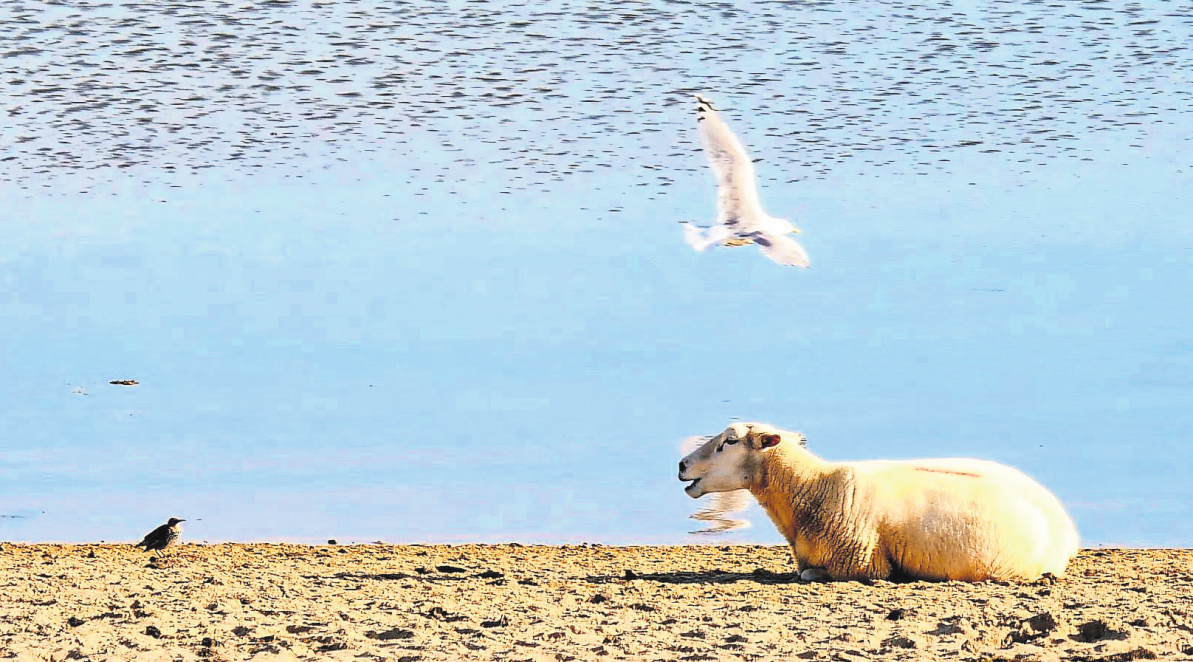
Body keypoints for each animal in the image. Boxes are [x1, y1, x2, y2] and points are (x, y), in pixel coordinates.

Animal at [677, 422, 1079, 582]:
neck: (816, 487)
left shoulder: (861, 565)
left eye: (729, 441)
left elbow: (809, 574)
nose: (681, 465)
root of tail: (1065, 523)